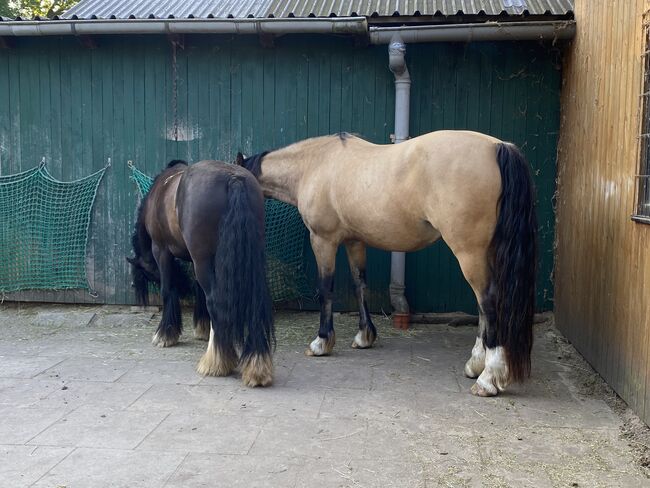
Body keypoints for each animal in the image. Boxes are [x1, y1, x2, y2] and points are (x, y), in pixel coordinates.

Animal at [129, 159, 274, 386]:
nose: (184, 287)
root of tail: (234, 179)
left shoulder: (162, 251)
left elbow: (168, 290)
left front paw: (165, 334)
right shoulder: (192, 257)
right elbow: (199, 291)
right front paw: (202, 328)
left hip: (203, 259)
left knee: (215, 300)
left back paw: (216, 362)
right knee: (254, 301)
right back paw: (256, 366)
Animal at [238, 132, 536, 398]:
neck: (315, 164)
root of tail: (498, 146)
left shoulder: (323, 240)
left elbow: (326, 290)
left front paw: (322, 342)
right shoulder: (354, 241)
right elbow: (360, 284)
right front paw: (364, 336)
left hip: (469, 253)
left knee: (488, 302)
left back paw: (488, 378)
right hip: (485, 253)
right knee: (483, 306)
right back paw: (475, 364)